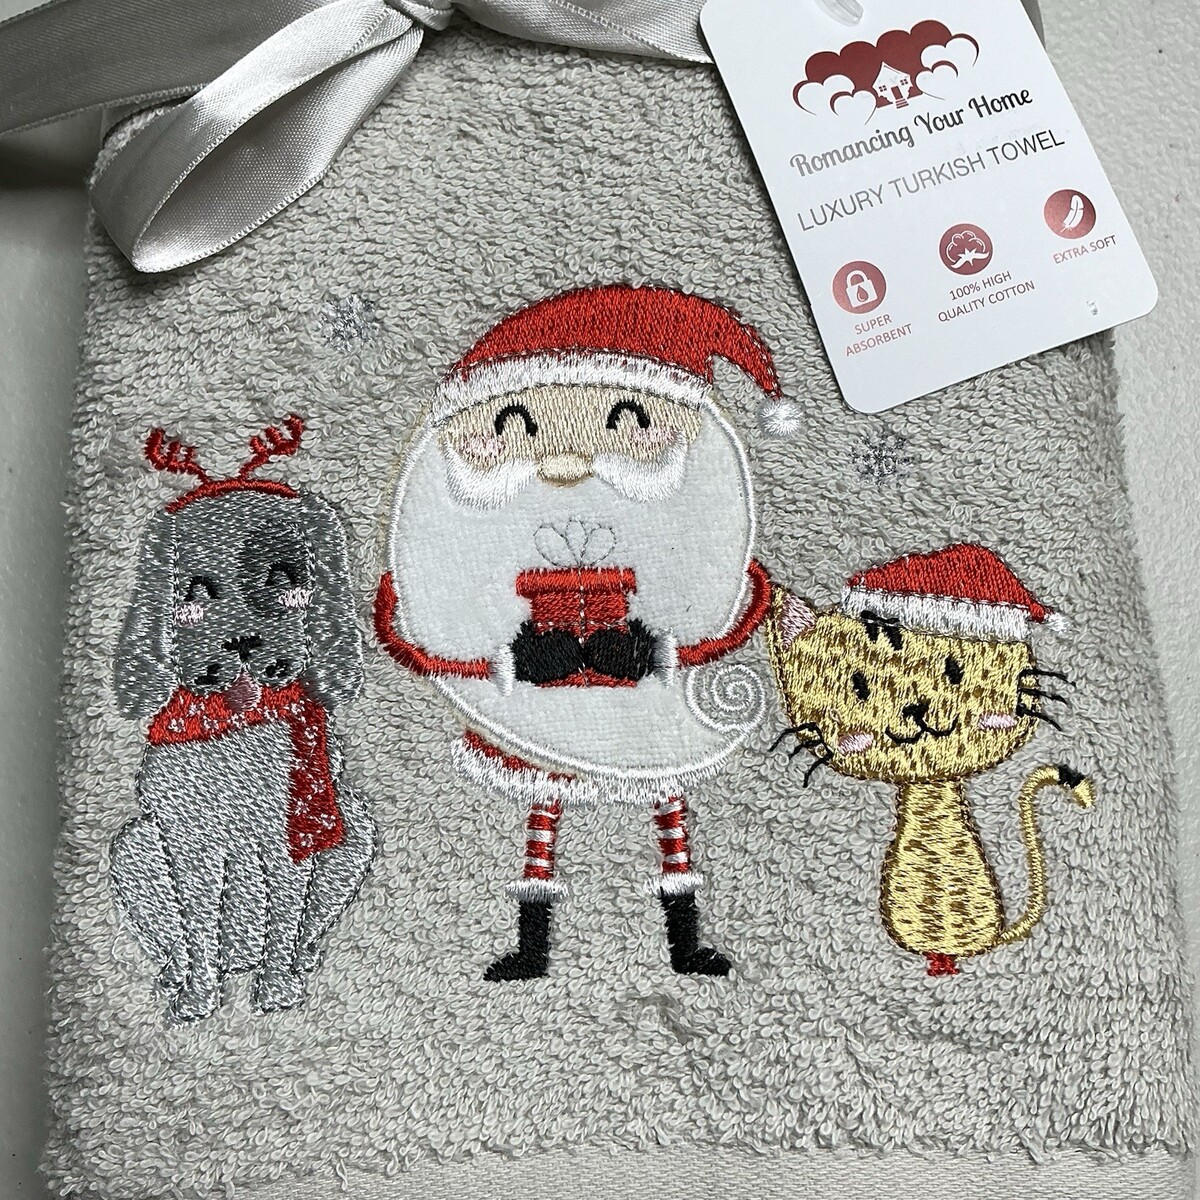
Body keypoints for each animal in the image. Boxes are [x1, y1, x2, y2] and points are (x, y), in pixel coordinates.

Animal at [110, 417, 375, 1023]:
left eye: (284, 577)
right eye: (193, 592)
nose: (242, 644)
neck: (236, 731)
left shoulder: (294, 838)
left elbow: (284, 918)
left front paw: (275, 990)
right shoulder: (188, 846)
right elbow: (199, 924)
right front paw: (200, 999)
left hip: (353, 833)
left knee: (304, 929)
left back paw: (295, 968)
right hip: (134, 848)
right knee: (176, 941)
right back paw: (179, 982)